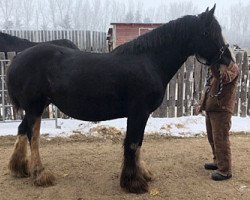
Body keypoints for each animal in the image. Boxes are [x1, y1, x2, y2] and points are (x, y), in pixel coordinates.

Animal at [6, 5, 232, 194]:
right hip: (35, 107)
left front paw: (143, 174)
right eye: (208, 32)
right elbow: (132, 143)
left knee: (22, 130)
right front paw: (134, 183)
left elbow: (138, 143)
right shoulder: (139, 112)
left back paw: (19, 168)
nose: (228, 59)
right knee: (32, 136)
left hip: (36, 107)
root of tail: (17, 59)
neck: (149, 61)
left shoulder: (140, 114)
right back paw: (40, 174)